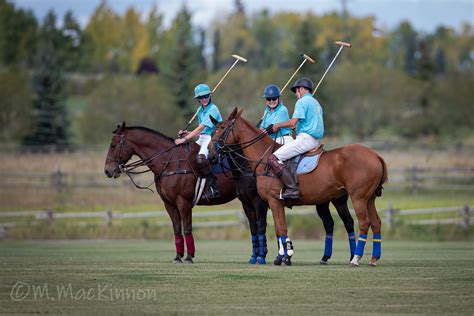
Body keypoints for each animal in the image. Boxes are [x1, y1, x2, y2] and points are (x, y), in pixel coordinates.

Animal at [103, 123, 268, 264]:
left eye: (113, 145)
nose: (107, 171)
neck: (169, 162)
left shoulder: (184, 202)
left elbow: (187, 227)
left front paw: (189, 257)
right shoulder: (169, 203)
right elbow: (177, 228)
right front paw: (178, 257)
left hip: (256, 199)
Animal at [209, 108, 386, 266]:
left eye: (222, 128)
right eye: (212, 131)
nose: (211, 153)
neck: (263, 159)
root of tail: (376, 155)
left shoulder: (272, 201)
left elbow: (280, 229)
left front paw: (285, 257)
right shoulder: (272, 203)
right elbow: (279, 229)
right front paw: (282, 257)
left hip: (357, 197)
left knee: (363, 223)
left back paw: (355, 258)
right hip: (367, 198)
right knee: (375, 222)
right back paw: (373, 259)